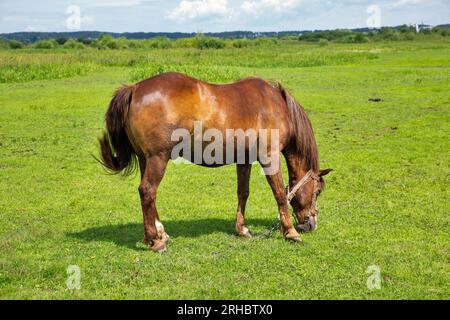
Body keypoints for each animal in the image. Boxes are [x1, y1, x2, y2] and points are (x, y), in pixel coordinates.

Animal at [98, 72, 330, 252]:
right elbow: (280, 193)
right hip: (158, 158)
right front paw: (290, 232)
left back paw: (159, 234)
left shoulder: (244, 159)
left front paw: (242, 229)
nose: (311, 224)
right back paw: (155, 241)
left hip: (145, 159)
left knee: (149, 194)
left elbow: (243, 193)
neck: (275, 105)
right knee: (147, 191)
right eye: (318, 191)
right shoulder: (269, 157)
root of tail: (134, 89)